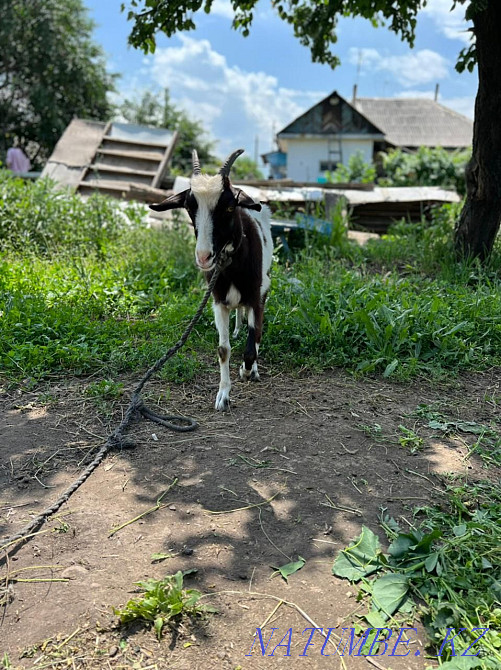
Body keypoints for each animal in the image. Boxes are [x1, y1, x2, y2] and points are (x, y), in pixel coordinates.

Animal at [150, 149, 273, 411]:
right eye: (189, 207)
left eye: (229, 207)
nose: (204, 256)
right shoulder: (218, 301)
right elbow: (223, 349)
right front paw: (223, 396)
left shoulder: (257, 295)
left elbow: (254, 340)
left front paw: (247, 370)